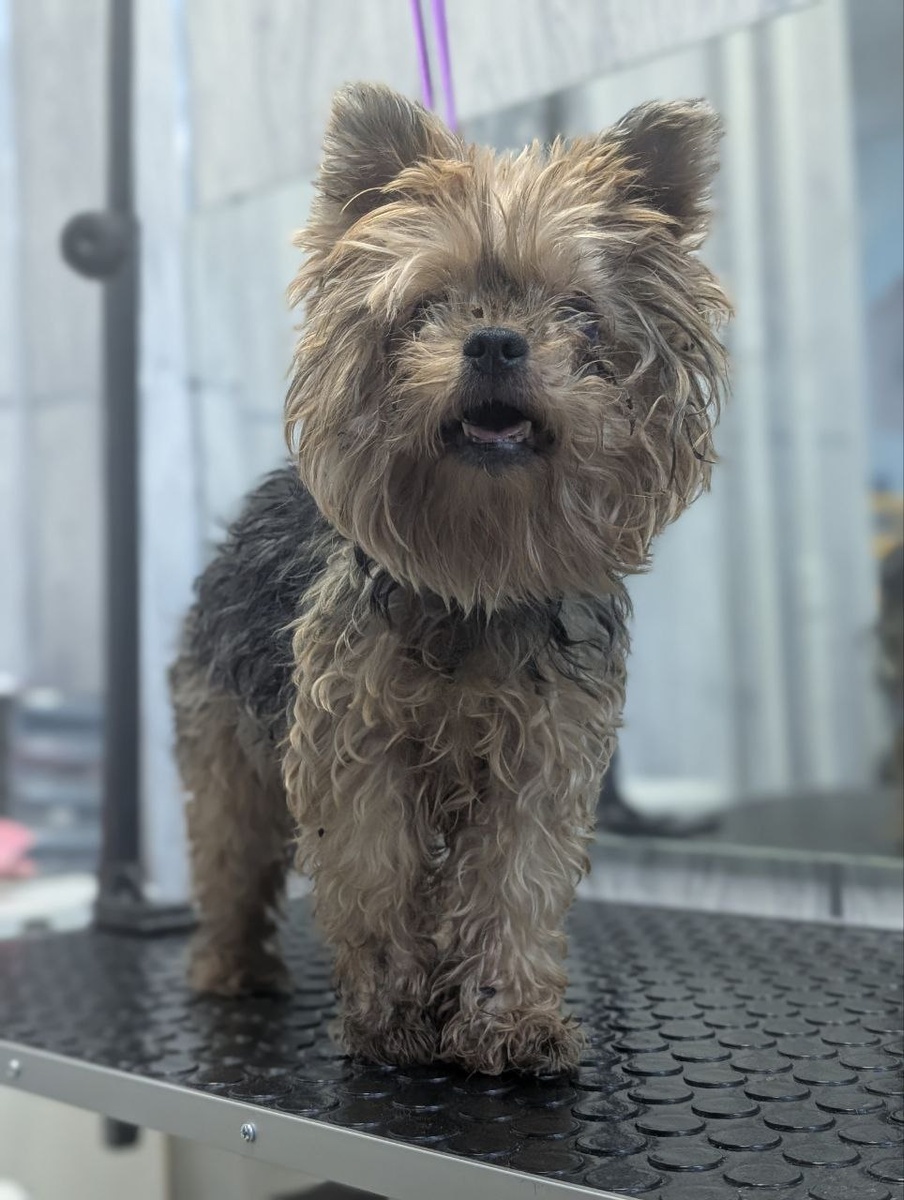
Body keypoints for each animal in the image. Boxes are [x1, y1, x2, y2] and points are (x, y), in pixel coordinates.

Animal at [170, 82, 729, 1075]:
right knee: (228, 849)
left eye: (578, 311)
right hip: (221, 726)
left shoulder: (540, 763)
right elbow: (376, 876)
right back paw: (230, 966)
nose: (497, 342)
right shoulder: (355, 754)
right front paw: (391, 1019)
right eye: (430, 304)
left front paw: (508, 1023)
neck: (479, 570)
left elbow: (512, 885)